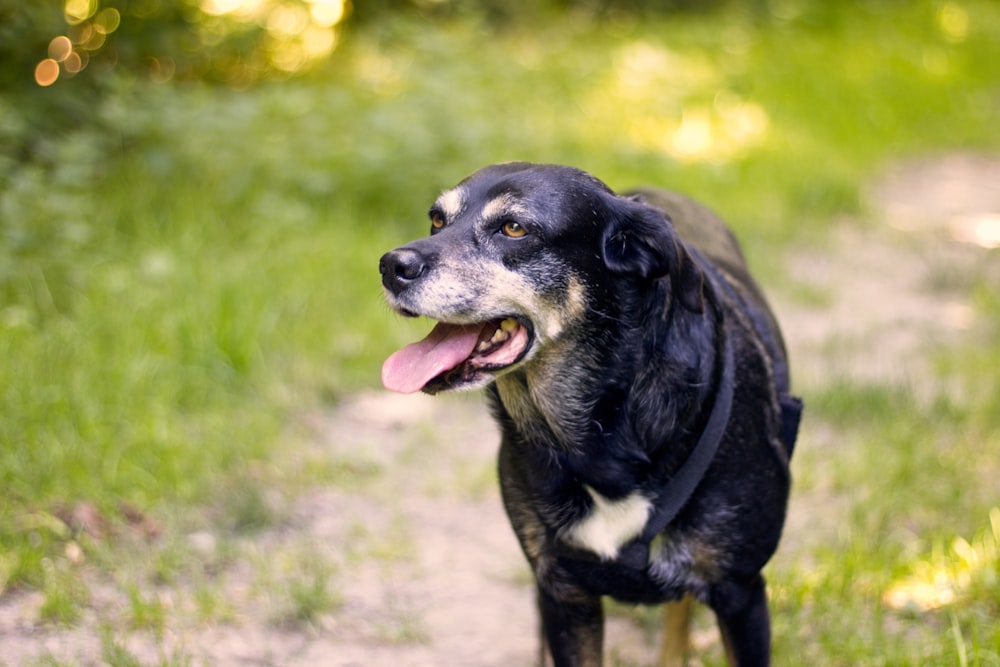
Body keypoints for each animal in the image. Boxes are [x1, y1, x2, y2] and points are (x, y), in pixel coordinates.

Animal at [378, 163, 800, 667]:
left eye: (514, 228)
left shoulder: (740, 594)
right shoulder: (563, 593)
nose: (391, 266)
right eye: (437, 221)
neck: (604, 429)